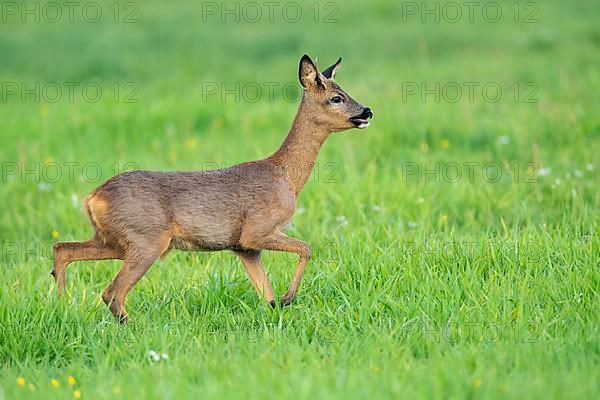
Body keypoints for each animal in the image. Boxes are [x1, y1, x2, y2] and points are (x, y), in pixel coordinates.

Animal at [51, 54, 370, 322]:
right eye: (336, 97)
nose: (367, 111)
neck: (286, 178)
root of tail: (92, 198)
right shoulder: (256, 230)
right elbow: (306, 248)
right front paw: (288, 297)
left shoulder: (244, 248)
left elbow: (265, 293)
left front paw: (277, 305)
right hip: (146, 239)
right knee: (112, 293)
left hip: (114, 240)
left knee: (63, 248)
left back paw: (62, 306)